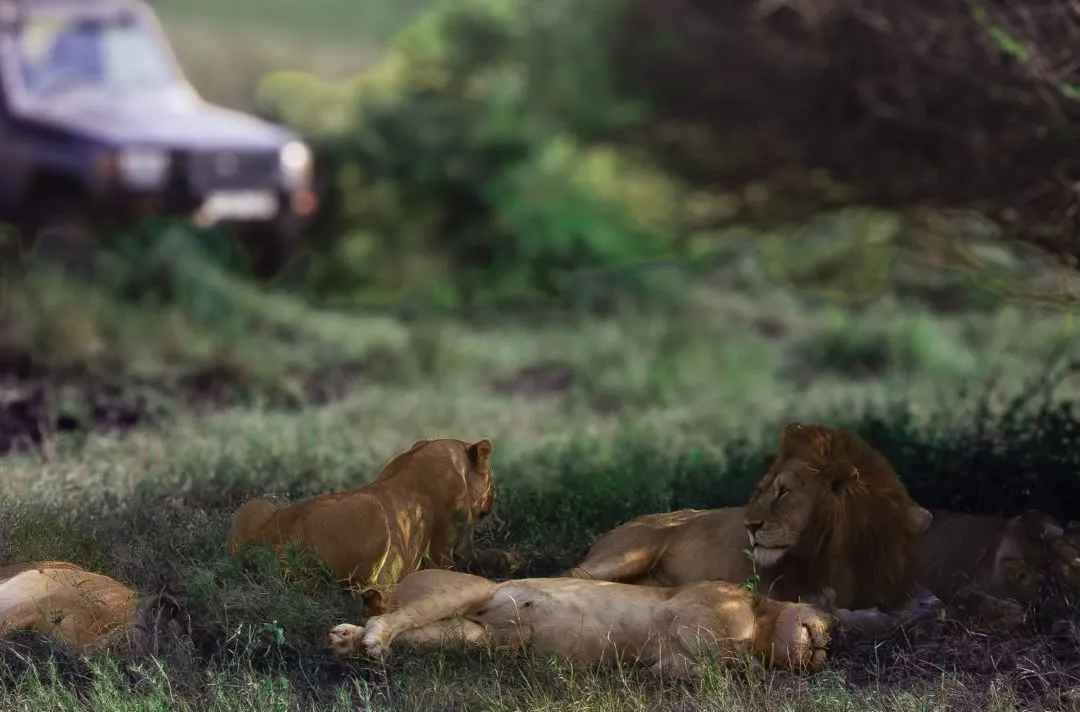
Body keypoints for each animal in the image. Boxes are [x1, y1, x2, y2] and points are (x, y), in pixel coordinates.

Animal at [226, 438, 512, 609]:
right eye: (491, 479)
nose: (494, 500)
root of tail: (277, 541)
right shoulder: (447, 547)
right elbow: (466, 563)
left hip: (254, 506)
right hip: (370, 508)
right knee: (355, 590)